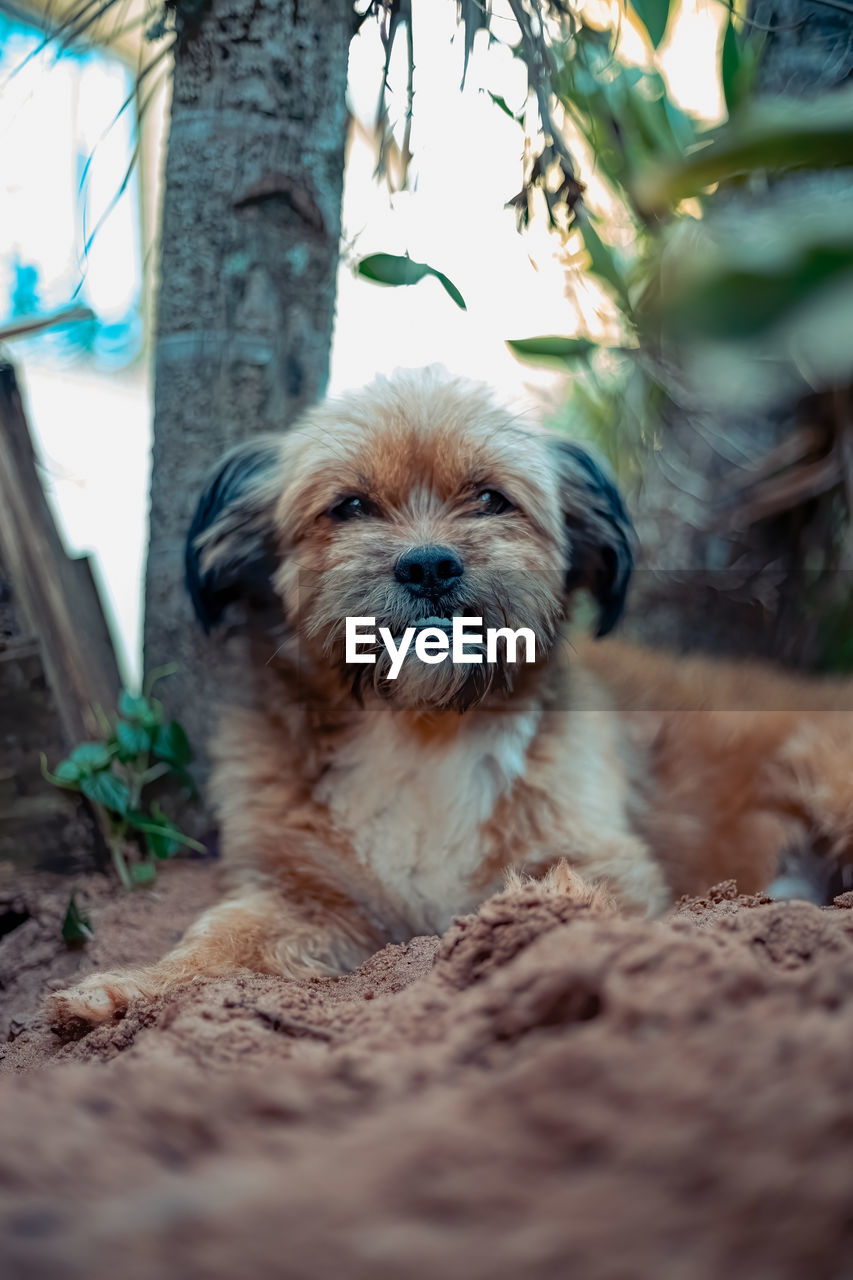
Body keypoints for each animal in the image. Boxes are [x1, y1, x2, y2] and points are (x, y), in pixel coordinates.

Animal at [49, 366, 850, 1024]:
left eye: (491, 499)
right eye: (349, 506)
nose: (430, 565)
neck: (423, 726)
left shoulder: (602, 862)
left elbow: (553, 898)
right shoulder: (304, 895)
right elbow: (218, 939)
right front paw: (130, 988)